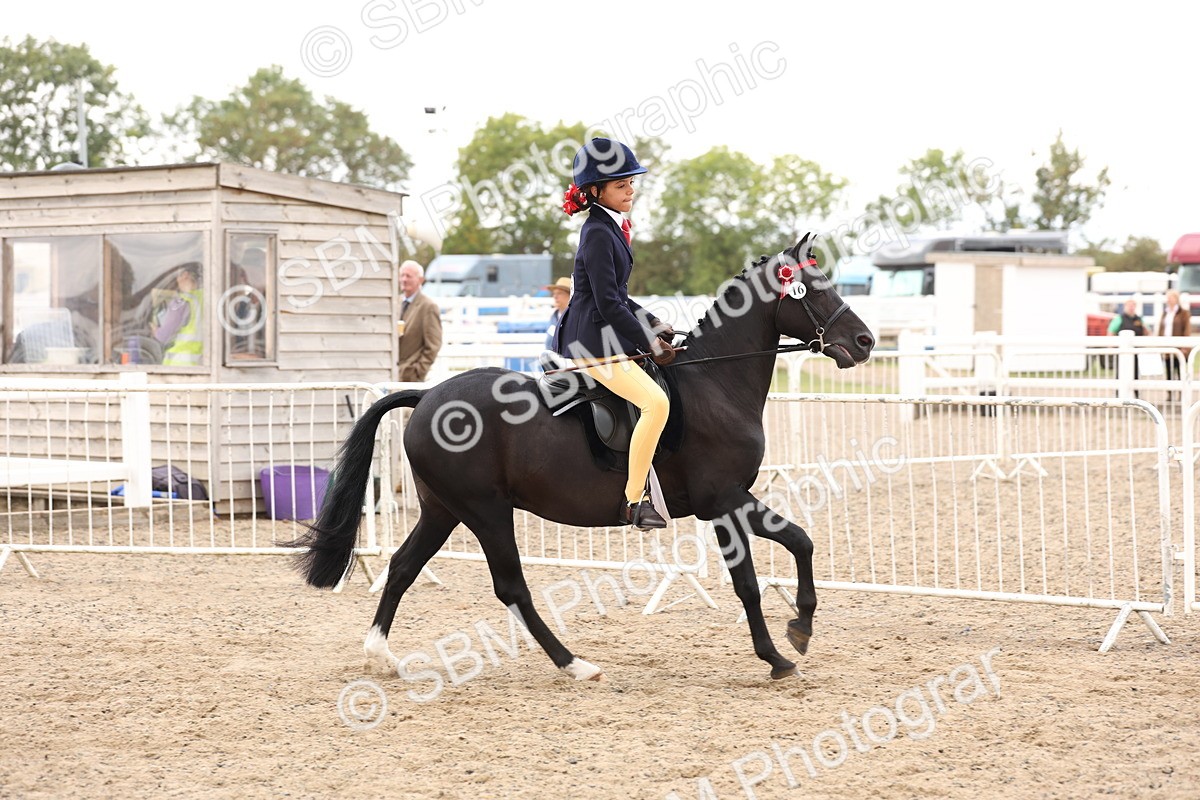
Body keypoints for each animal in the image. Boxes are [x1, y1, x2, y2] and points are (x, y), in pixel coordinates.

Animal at [288, 235, 875, 681]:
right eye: (813, 289)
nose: (866, 341)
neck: (715, 381)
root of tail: (428, 395)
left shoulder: (731, 502)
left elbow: (791, 548)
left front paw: (793, 635)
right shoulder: (724, 499)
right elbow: (761, 573)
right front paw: (784, 648)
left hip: (443, 510)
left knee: (404, 567)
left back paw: (380, 655)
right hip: (485, 511)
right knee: (511, 587)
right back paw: (574, 664)